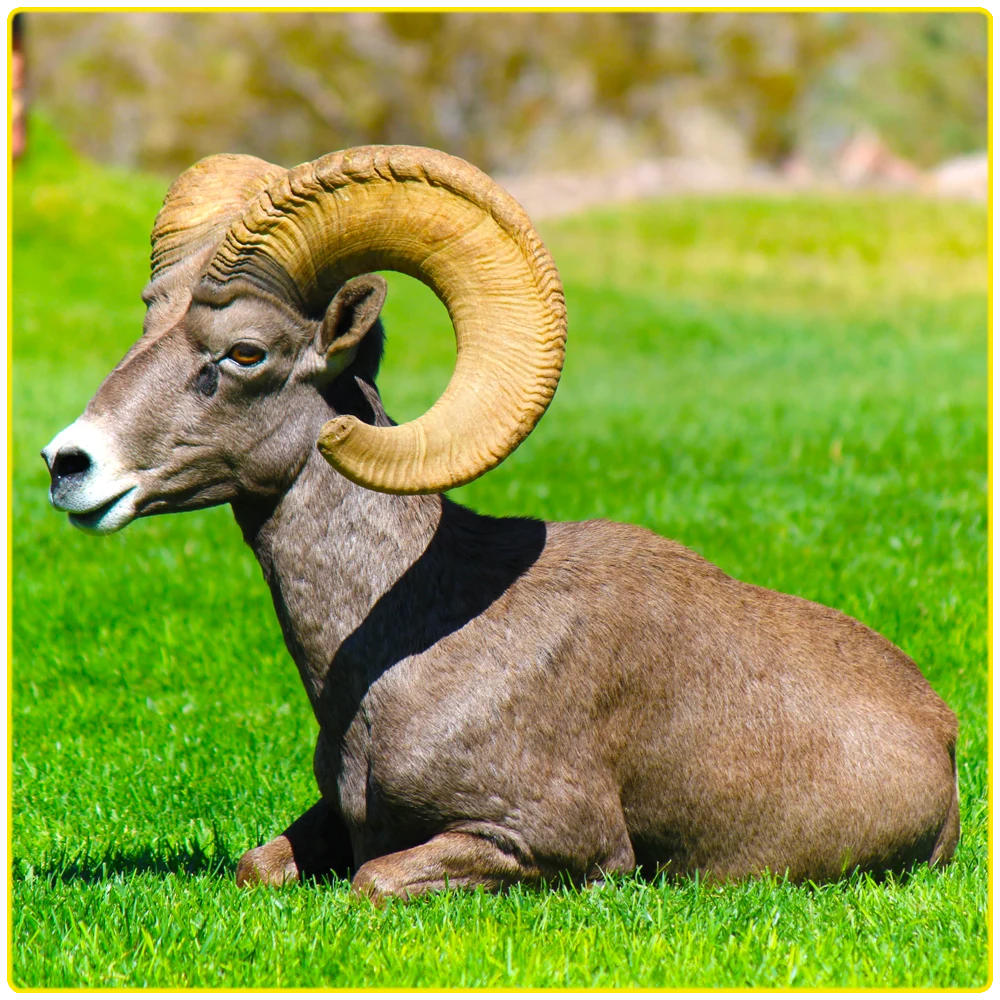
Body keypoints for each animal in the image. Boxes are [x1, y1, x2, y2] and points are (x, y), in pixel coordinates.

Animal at [43, 146, 956, 900]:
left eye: (244, 353)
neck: (402, 643)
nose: (67, 463)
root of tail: (942, 738)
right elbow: (256, 866)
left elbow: (371, 882)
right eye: (148, 322)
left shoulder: (544, 842)